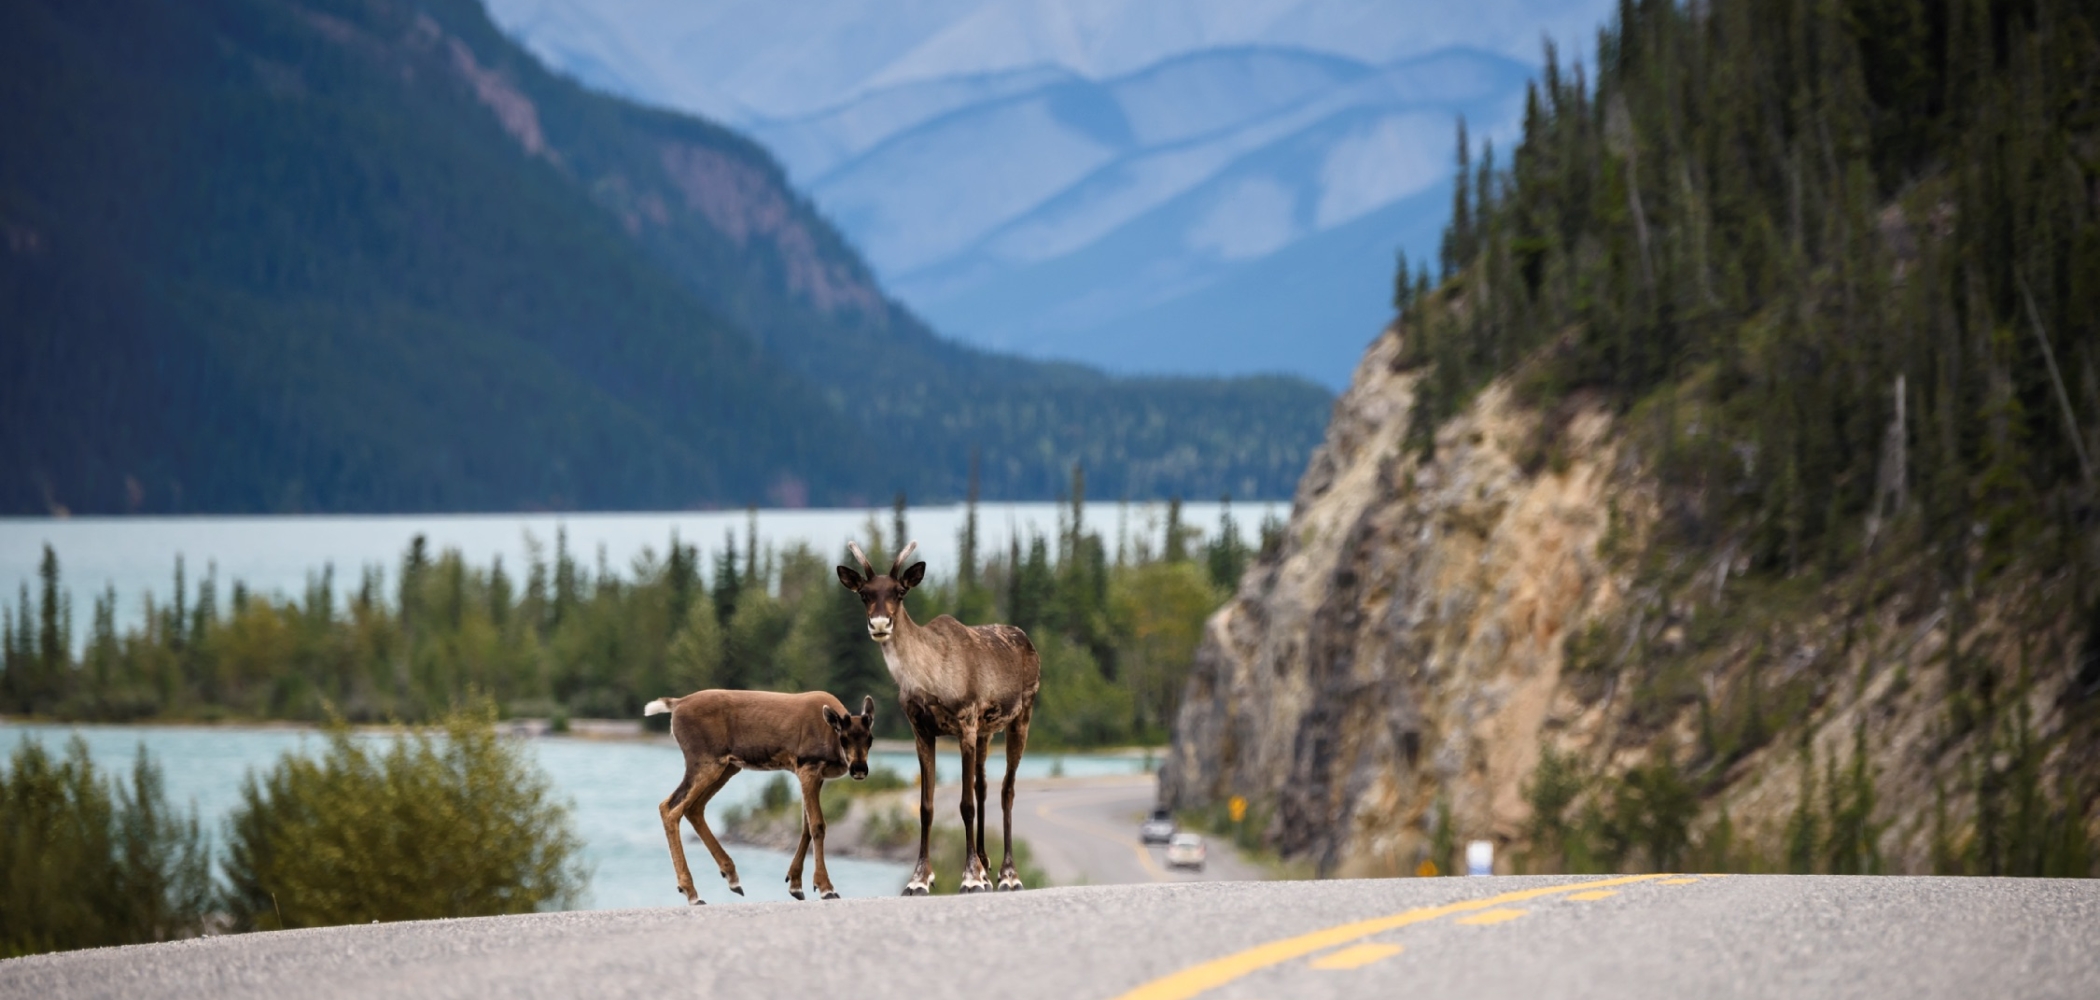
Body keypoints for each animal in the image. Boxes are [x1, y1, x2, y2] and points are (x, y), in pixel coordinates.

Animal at [638, 693, 869, 903]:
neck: (829, 734)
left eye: (870, 738)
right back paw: (692, 892)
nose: (859, 769)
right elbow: (817, 826)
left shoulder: (812, 776)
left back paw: (731, 878)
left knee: (693, 808)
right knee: (670, 807)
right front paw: (826, 888)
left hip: (727, 767)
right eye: (843, 738)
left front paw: (795, 885)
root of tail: (676, 704)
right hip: (705, 761)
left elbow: (805, 826)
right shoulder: (808, 768)